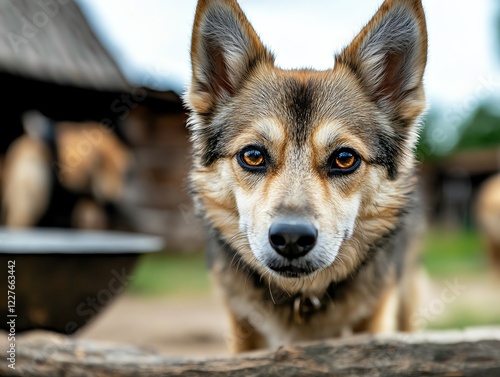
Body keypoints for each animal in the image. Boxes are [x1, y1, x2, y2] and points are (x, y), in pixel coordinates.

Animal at [186, 0, 428, 352]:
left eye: (344, 158)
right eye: (253, 155)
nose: (291, 238)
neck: (301, 296)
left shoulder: (377, 313)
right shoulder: (241, 322)